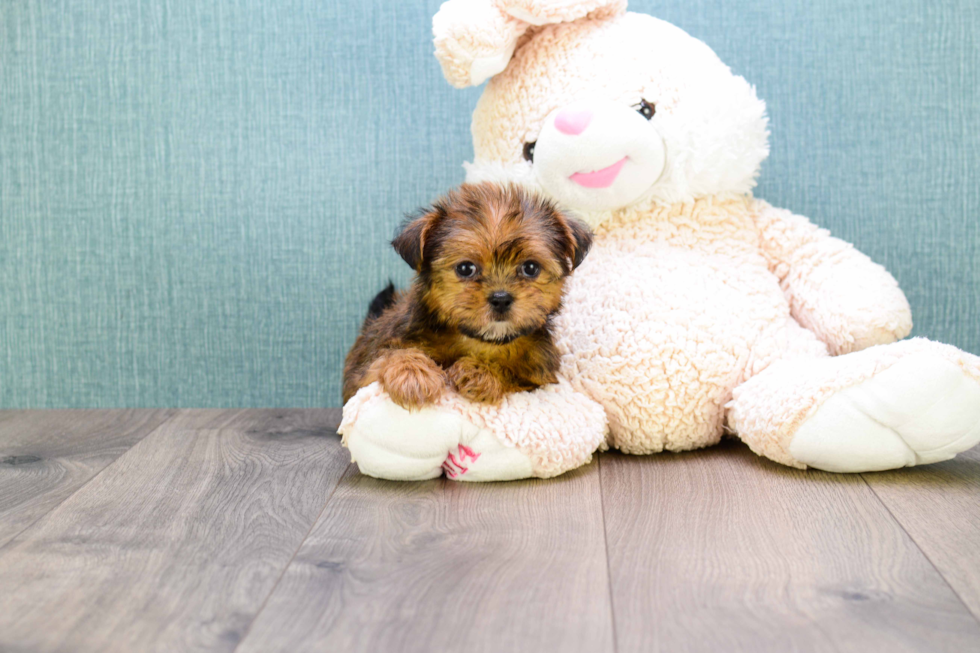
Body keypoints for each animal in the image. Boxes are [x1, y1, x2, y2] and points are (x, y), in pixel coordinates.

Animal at [342, 181, 588, 410]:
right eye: (465, 268)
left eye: (530, 268)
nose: (501, 298)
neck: (481, 341)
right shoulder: (362, 372)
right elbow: (387, 356)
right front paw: (413, 374)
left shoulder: (539, 380)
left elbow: (515, 377)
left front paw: (481, 372)